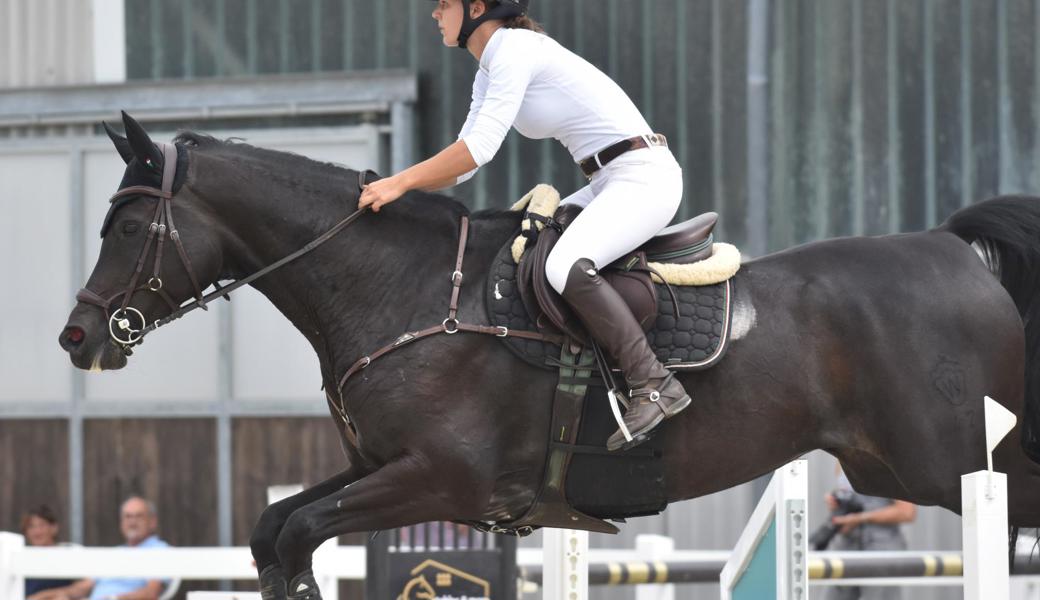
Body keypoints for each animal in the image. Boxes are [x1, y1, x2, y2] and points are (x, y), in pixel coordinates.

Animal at [60, 114, 1035, 594]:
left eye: (131, 227)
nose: (78, 337)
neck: (399, 287)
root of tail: (953, 248)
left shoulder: (443, 480)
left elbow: (298, 530)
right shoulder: (382, 468)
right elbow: (276, 529)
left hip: (945, 464)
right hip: (899, 463)